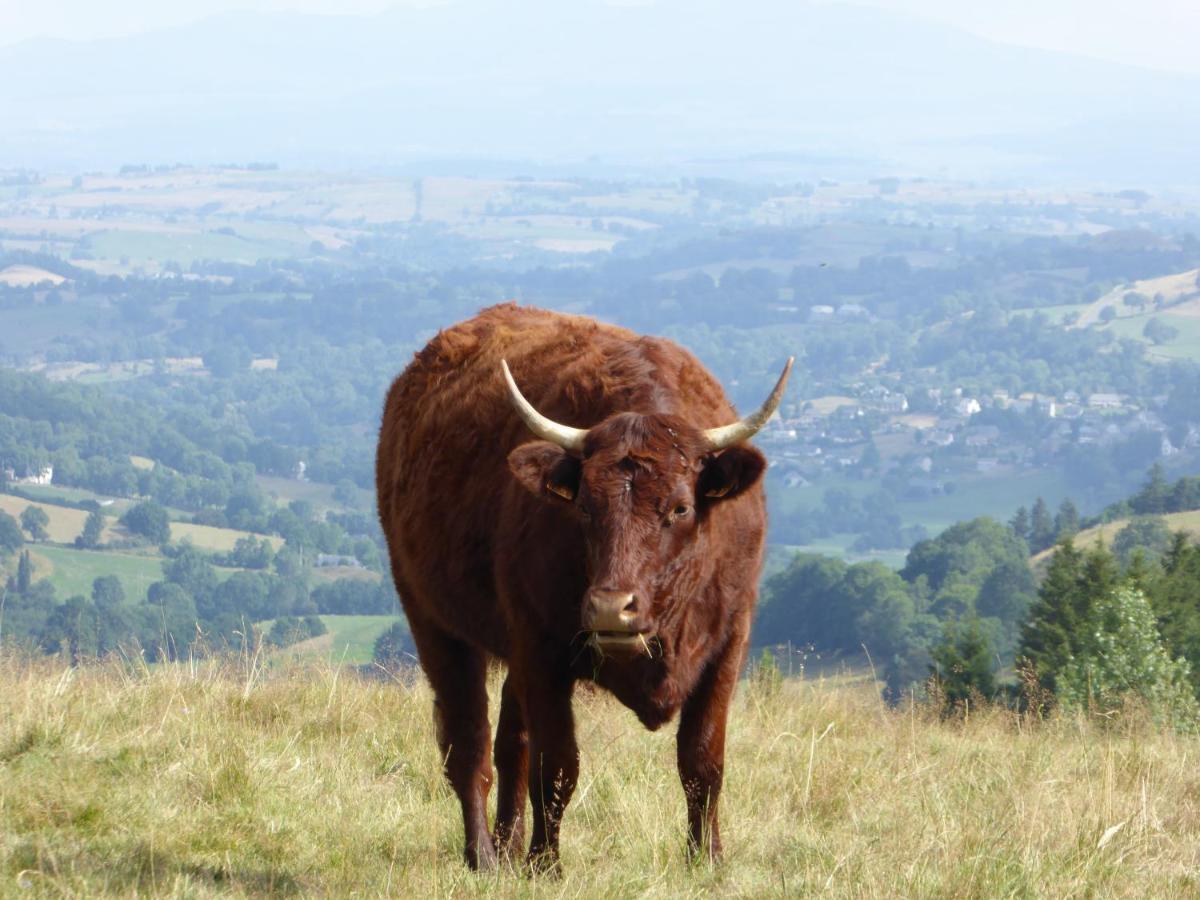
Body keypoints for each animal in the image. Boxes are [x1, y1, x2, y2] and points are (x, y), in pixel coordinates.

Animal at [374, 304, 787, 873]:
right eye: (585, 507)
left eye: (680, 508)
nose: (612, 608)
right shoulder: (542, 648)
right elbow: (557, 766)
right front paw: (546, 865)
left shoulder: (728, 642)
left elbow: (703, 761)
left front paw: (707, 858)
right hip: (432, 620)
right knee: (469, 745)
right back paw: (485, 856)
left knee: (510, 742)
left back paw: (507, 845)